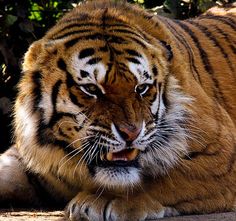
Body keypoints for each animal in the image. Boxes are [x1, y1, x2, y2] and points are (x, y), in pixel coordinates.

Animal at [0, 0, 235, 220]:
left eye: (141, 88)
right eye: (91, 89)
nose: (131, 133)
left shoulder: (221, 152)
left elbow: (160, 177)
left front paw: (103, 199)